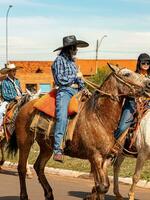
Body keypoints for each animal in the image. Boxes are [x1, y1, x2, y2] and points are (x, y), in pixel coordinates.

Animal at [6, 64, 150, 200]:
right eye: (127, 74)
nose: (148, 83)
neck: (100, 117)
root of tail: (25, 106)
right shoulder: (95, 156)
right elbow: (102, 186)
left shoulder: (106, 157)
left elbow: (102, 186)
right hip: (25, 143)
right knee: (22, 168)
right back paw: (24, 195)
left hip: (47, 147)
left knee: (39, 167)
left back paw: (49, 193)